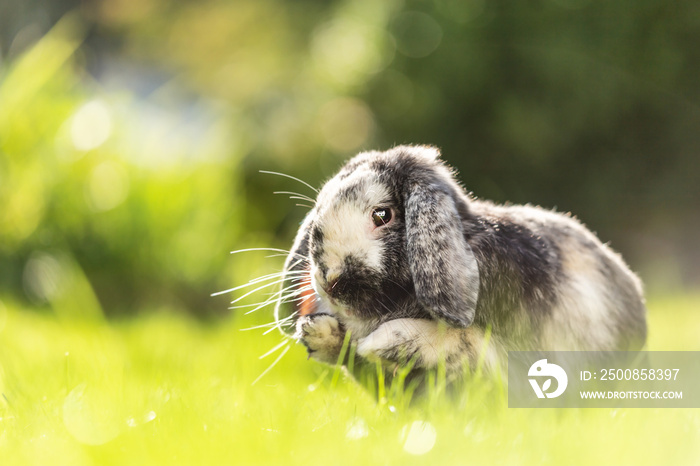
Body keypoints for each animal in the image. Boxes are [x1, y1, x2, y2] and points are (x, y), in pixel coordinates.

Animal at [272, 146, 644, 374]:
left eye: (382, 215)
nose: (329, 280)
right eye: (318, 214)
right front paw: (320, 334)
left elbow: (466, 344)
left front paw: (384, 344)